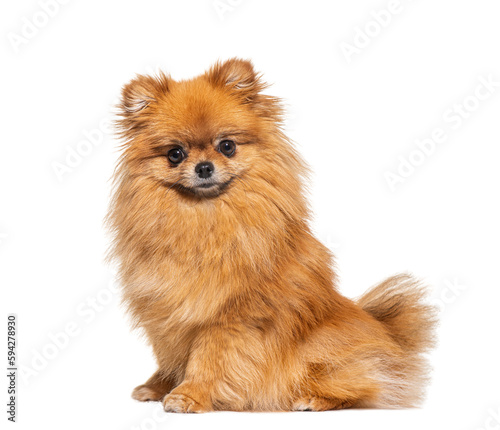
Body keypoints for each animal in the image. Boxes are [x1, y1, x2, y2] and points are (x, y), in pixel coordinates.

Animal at [107, 58, 436, 412]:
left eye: (227, 146)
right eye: (175, 154)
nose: (205, 167)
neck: (204, 220)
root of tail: (387, 333)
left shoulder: (230, 316)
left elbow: (209, 359)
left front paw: (190, 394)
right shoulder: (165, 312)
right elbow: (170, 355)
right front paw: (159, 386)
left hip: (321, 354)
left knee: (362, 387)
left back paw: (312, 400)